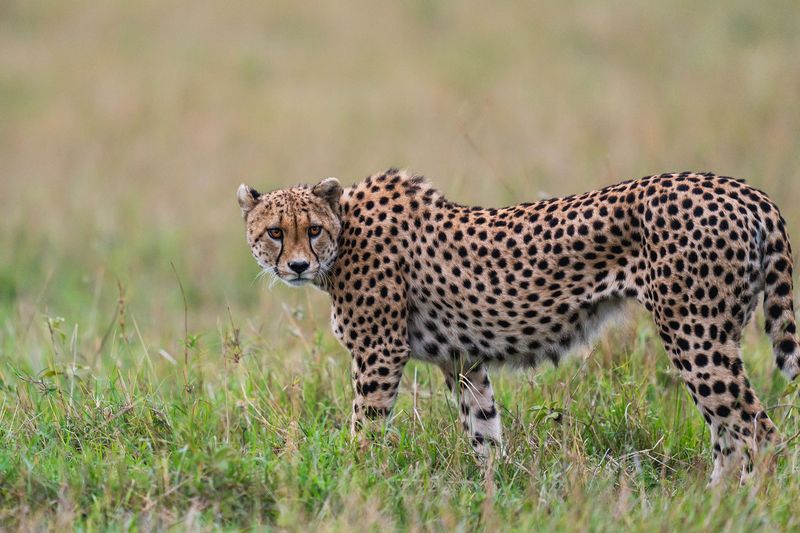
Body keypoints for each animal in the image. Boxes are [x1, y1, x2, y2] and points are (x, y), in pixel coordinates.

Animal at [237, 169, 798, 485]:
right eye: (275, 232)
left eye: (312, 229)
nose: (297, 266)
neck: (344, 236)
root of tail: (743, 190)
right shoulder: (462, 359)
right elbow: (484, 430)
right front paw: (493, 490)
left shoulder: (379, 353)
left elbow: (365, 429)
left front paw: (356, 480)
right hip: (712, 335)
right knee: (730, 435)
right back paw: (713, 505)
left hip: (695, 334)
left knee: (758, 431)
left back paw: (743, 506)